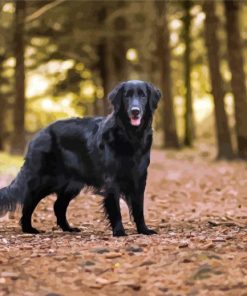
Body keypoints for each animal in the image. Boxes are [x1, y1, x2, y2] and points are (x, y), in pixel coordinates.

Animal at [0, 80, 160, 237]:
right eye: (127, 96)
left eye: (143, 95)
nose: (135, 111)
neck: (130, 135)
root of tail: (39, 134)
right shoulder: (112, 179)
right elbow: (115, 207)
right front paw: (119, 231)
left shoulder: (139, 178)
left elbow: (139, 208)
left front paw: (144, 230)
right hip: (44, 179)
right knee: (29, 200)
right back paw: (28, 228)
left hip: (70, 184)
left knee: (58, 205)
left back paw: (68, 228)